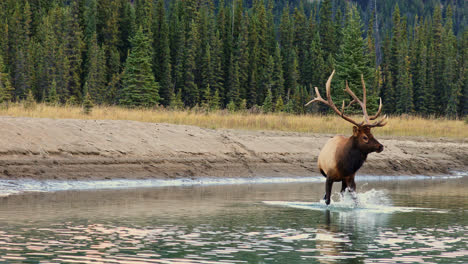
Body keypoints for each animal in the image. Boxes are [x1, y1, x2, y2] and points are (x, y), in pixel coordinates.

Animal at [306, 70, 386, 206]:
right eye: (365, 137)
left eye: (372, 135)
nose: (380, 146)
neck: (346, 165)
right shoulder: (329, 177)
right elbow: (328, 200)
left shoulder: (350, 178)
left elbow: (355, 199)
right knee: (325, 196)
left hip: (343, 181)